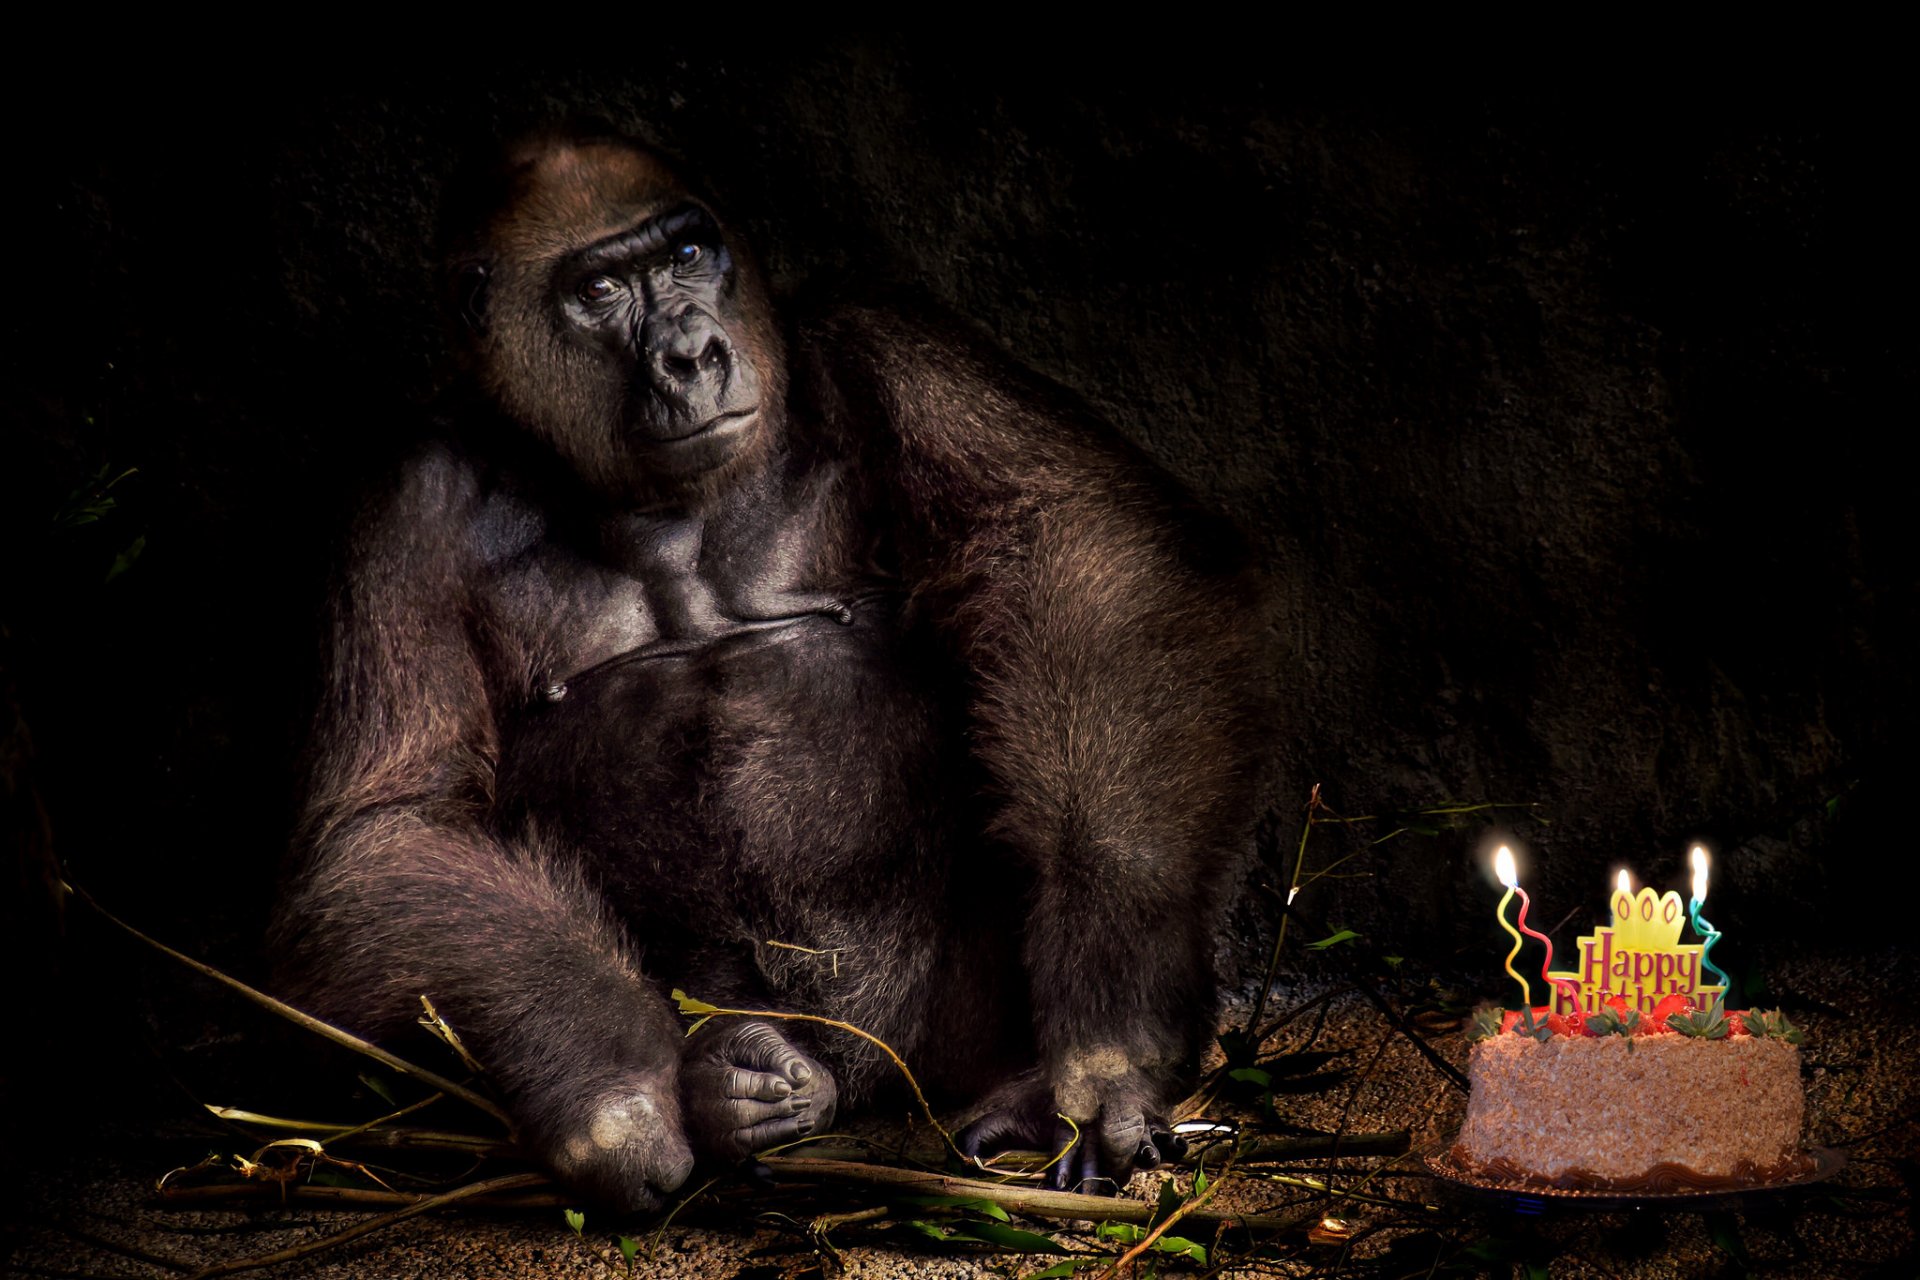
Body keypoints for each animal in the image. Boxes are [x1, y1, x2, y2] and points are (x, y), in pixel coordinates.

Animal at [271, 127, 1270, 1213]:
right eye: (598, 291)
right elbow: (392, 820)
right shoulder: (404, 501)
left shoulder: (882, 338)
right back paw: (734, 1086)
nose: (692, 352)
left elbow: (1082, 552)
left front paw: (1109, 1043)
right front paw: (612, 1094)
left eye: (687, 254)